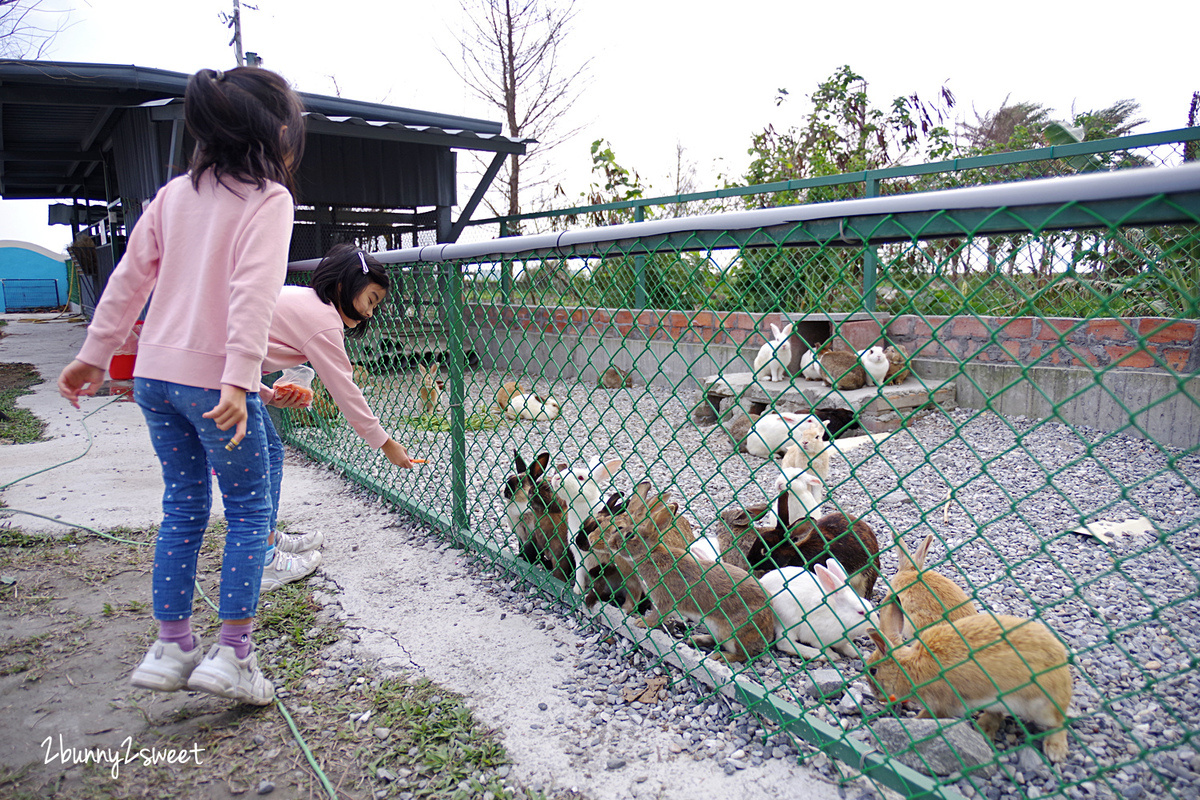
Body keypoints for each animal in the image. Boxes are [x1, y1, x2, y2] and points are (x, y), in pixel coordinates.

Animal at [868, 614, 1075, 762]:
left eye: (873, 671)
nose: (876, 695)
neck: (908, 666)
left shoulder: (940, 705)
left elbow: (927, 716)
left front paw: (913, 723)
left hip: (1043, 706)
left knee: (1059, 723)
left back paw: (1055, 751)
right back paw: (982, 729)